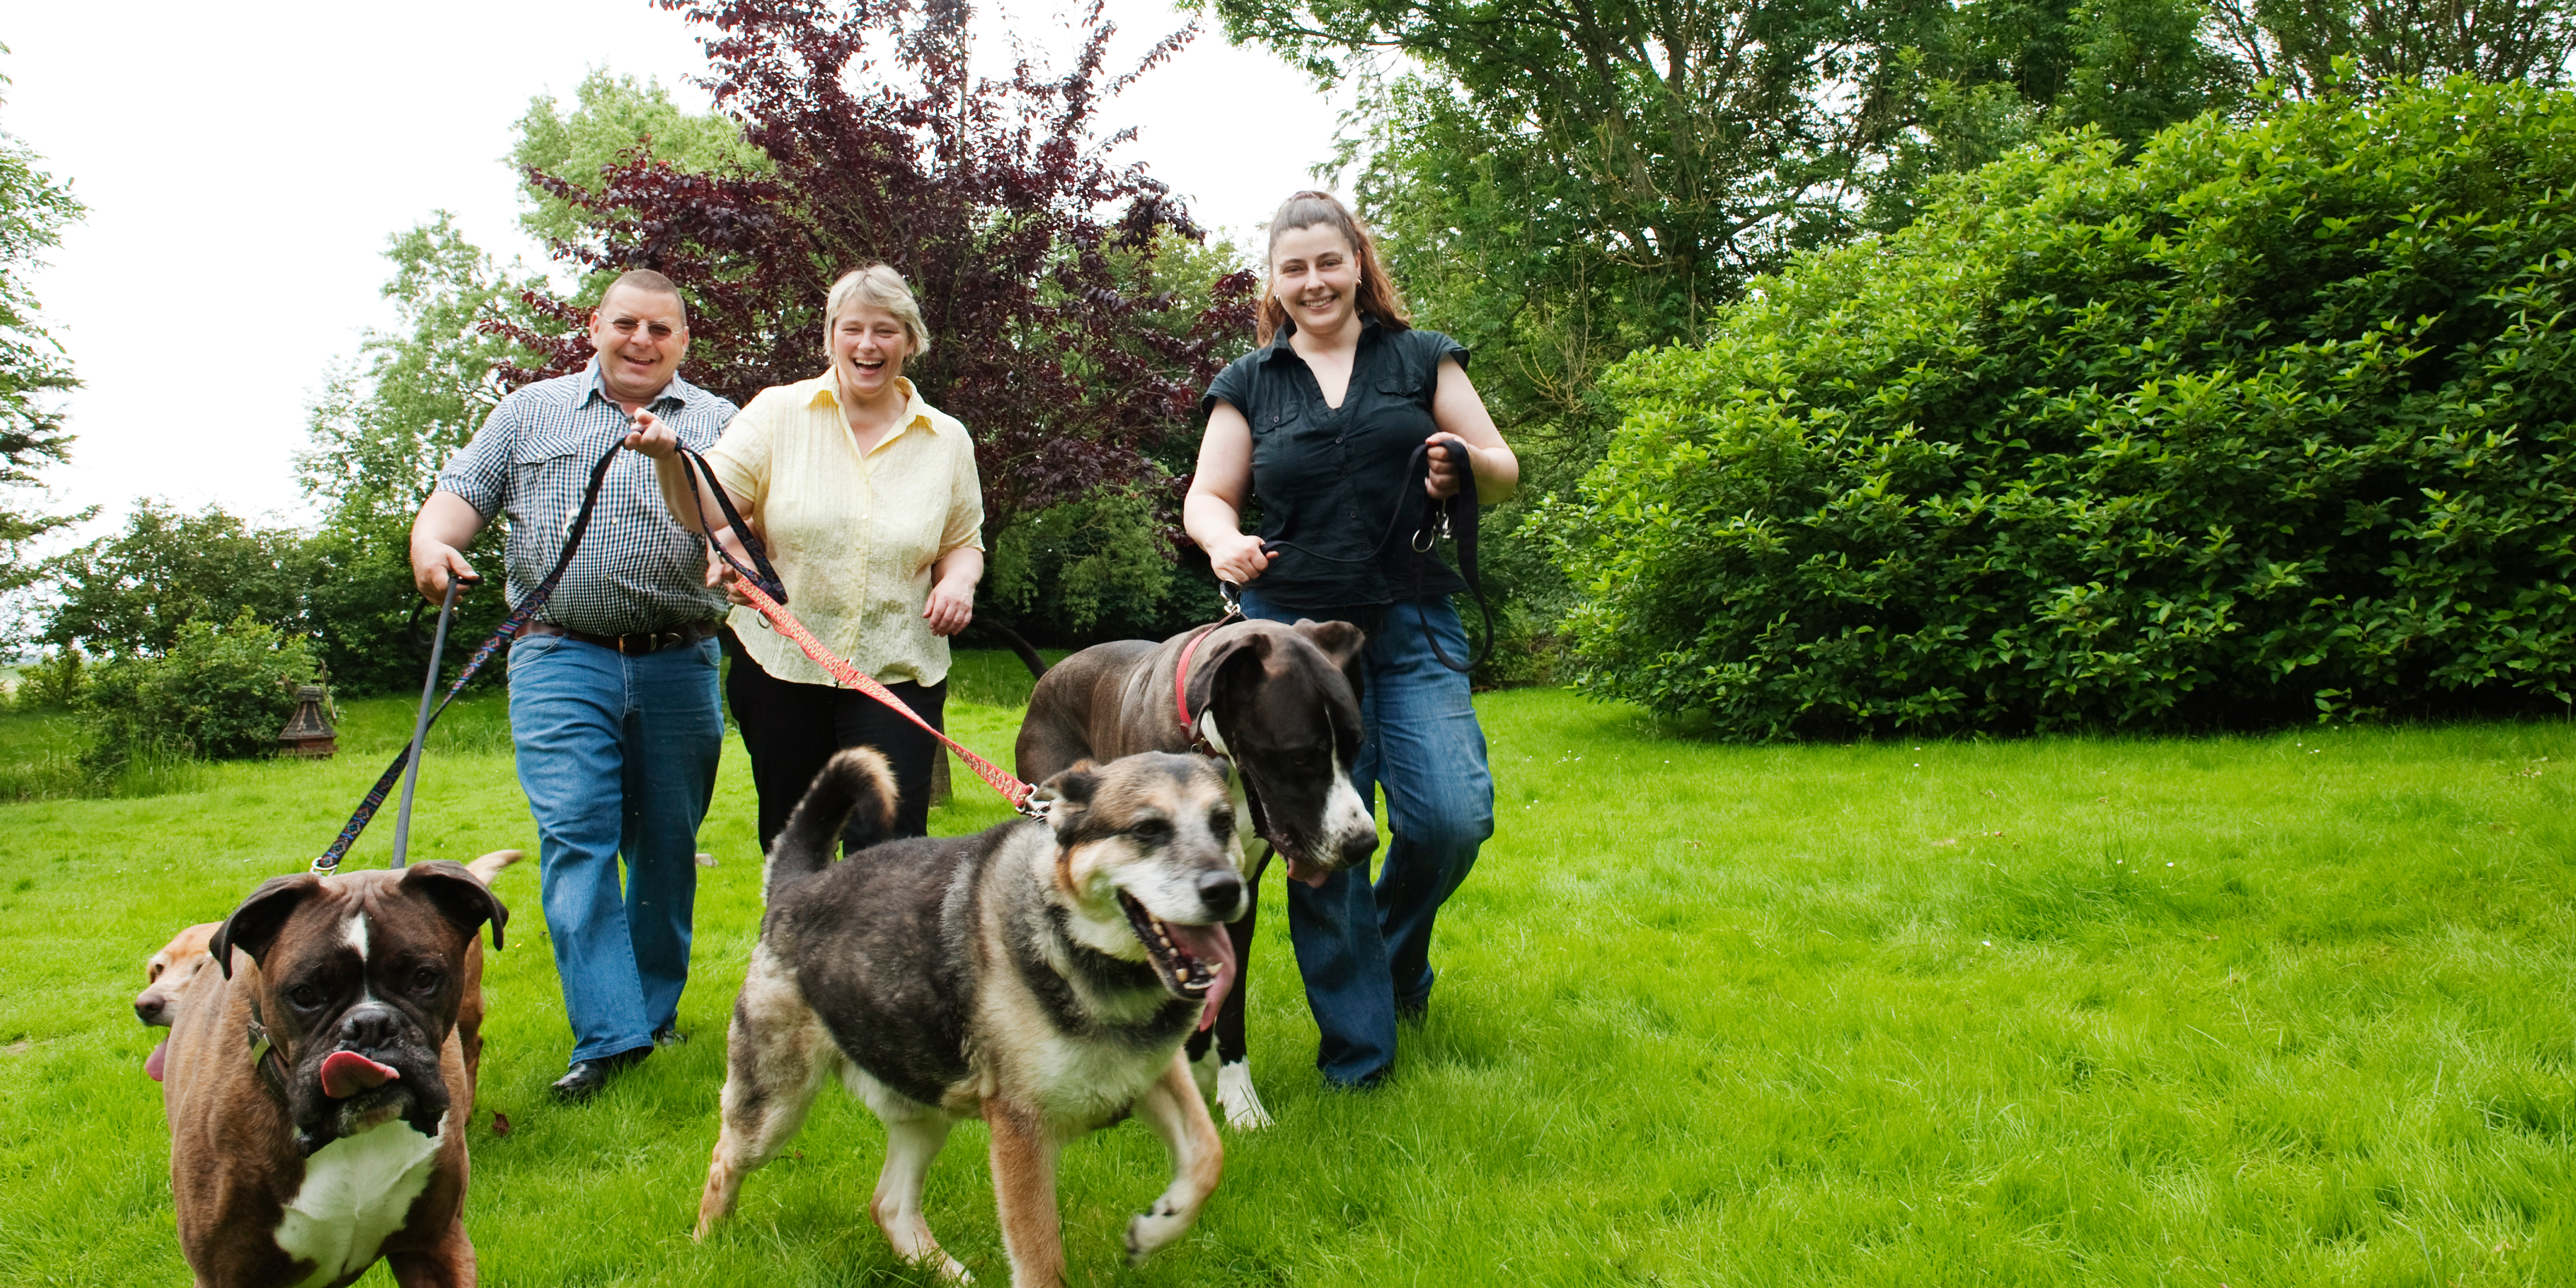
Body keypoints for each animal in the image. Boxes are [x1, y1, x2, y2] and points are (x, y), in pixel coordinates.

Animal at [690, 752, 1241, 1283]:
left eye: (1224, 823)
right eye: (1147, 829)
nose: (1227, 889)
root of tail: (794, 887)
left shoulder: (1154, 1073)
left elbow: (1209, 1156)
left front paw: (1158, 1227)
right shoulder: (1021, 1129)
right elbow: (1041, 1264)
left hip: (923, 1109)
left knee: (888, 1205)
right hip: (774, 1108)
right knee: (722, 1162)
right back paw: (707, 1246)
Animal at [1020, 618, 1391, 1123]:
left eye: (1356, 747)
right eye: (1298, 756)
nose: (1362, 843)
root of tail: (1051, 673)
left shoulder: (1235, 895)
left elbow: (1227, 1007)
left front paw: (1239, 1101)